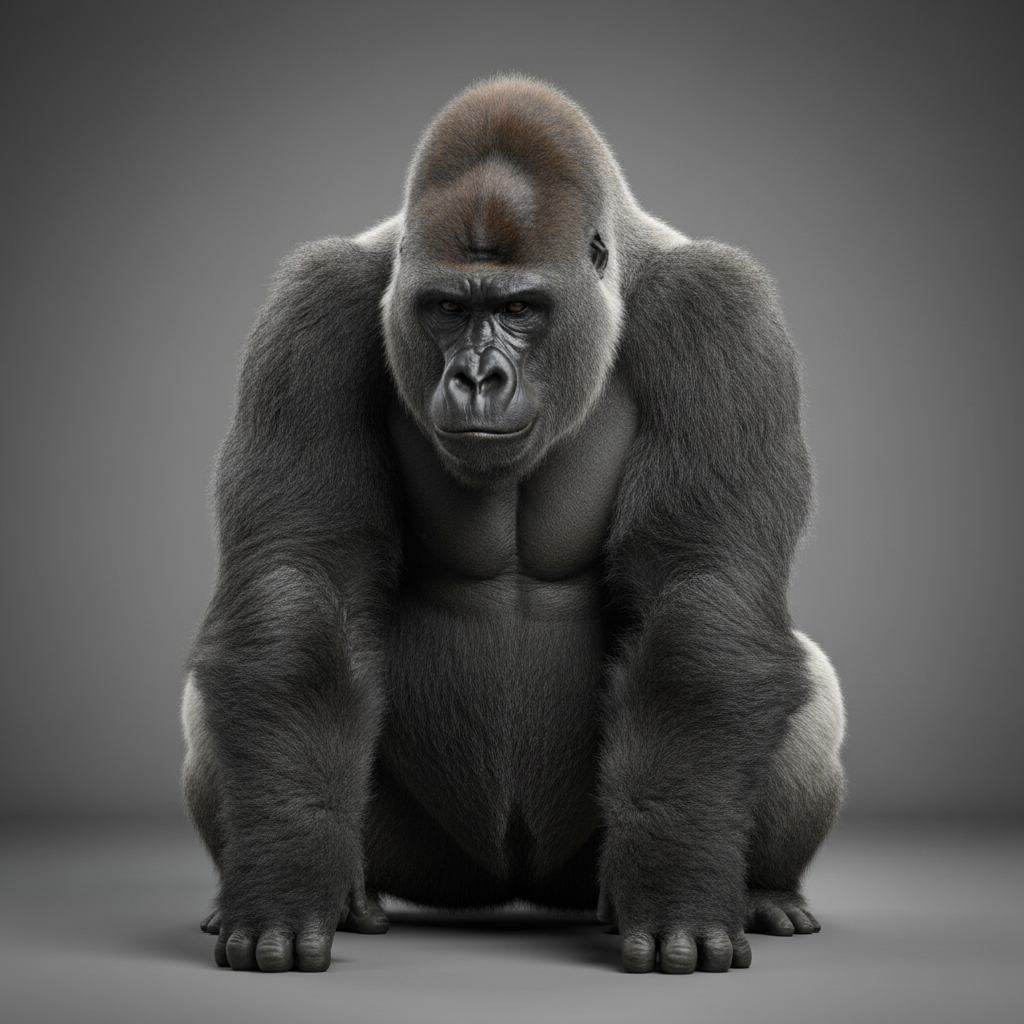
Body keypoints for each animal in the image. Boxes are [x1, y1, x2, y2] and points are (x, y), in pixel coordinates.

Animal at [182, 74, 845, 975]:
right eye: (447, 308)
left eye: (522, 308)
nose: (477, 376)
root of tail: (508, 887)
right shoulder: (310, 309)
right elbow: (302, 581)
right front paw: (286, 871)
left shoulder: (722, 315)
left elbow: (700, 597)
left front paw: (679, 875)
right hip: (419, 858)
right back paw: (342, 891)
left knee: (806, 683)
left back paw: (766, 892)